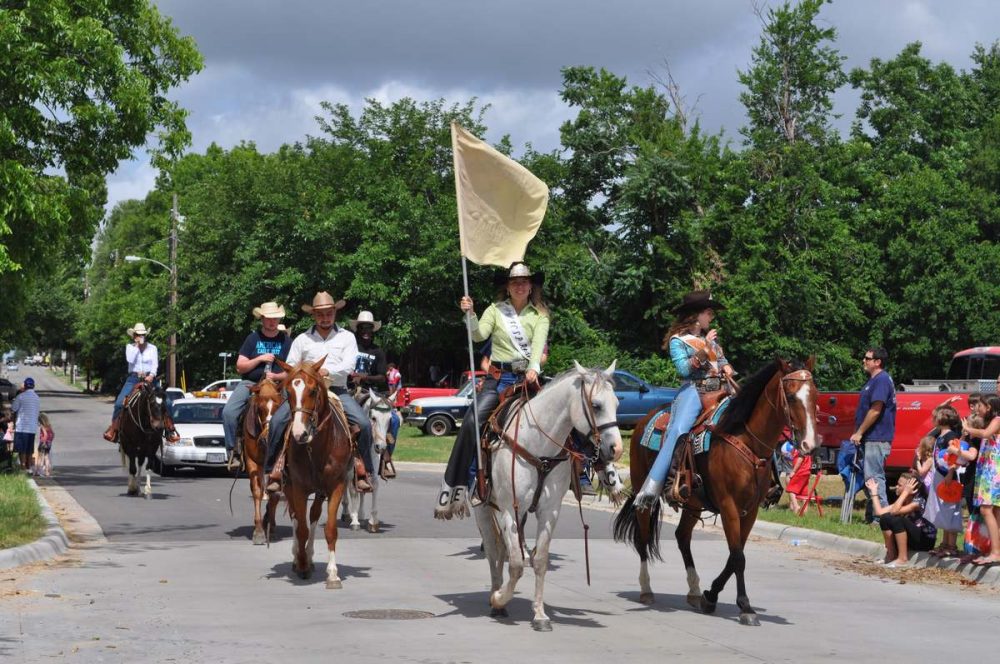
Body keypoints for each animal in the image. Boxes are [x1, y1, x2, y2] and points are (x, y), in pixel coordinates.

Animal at [242, 378, 286, 544]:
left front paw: (270, 527)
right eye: (259, 408)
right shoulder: (252, 461)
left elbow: (274, 494)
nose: (267, 438)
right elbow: (257, 491)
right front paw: (259, 531)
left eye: (278, 407)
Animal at [272, 358, 354, 588]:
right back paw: (298, 558)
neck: (317, 447)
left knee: (314, 516)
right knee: (296, 518)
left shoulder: (336, 486)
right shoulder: (298, 488)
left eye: (313, 390)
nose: (300, 433)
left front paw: (333, 574)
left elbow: (330, 529)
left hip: (320, 491)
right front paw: (301, 565)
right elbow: (301, 528)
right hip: (289, 487)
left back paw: (308, 556)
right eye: (288, 392)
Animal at [340, 390, 394, 536]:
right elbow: (353, 490)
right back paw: (347, 513)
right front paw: (354, 521)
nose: (381, 447)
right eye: (373, 418)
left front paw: (372, 521)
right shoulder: (352, 468)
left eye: (390, 420)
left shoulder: (372, 466)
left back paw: (361, 514)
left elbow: (373, 485)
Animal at [472, 360, 620, 632]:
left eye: (617, 403)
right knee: (493, 551)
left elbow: (538, 560)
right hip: (484, 510)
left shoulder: (549, 511)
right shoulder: (509, 509)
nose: (616, 449)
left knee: (502, 551)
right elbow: (517, 563)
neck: (538, 446)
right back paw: (496, 598)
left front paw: (540, 615)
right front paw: (498, 598)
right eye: (596, 405)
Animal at [612, 356, 816, 624]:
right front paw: (745, 607)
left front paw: (710, 596)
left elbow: (734, 556)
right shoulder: (729, 506)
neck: (745, 440)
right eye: (791, 396)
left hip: (693, 503)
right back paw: (646, 589)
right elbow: (738, 557)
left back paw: (694, 590)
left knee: (682, 536)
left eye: (815, 395)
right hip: (642, 490)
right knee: (643, 537)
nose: (810, 443)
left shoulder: (750, 511)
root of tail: (645, 420)